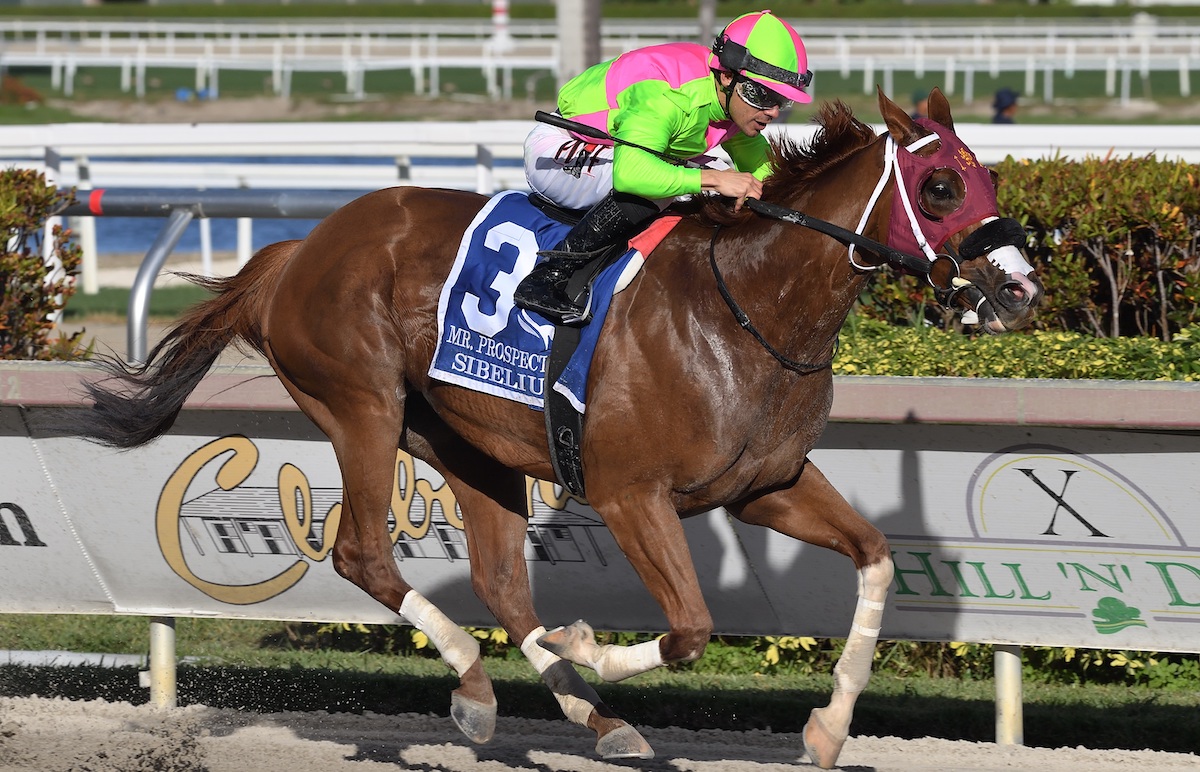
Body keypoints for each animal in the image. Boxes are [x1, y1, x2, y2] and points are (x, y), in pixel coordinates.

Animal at [72, 88, 1041, 768]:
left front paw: (829, 728)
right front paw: (587, 642)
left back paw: (577, 714)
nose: (1020, 287)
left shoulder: (768, 485)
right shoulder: (628, 492)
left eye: (991, 177)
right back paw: (483, 681)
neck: (750, 308)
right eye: (940, 186)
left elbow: (875, 558)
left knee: (502, 583)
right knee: (363, 556)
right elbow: (691, 628)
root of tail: (297, 250)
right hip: (360, 406)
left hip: (468, 443)